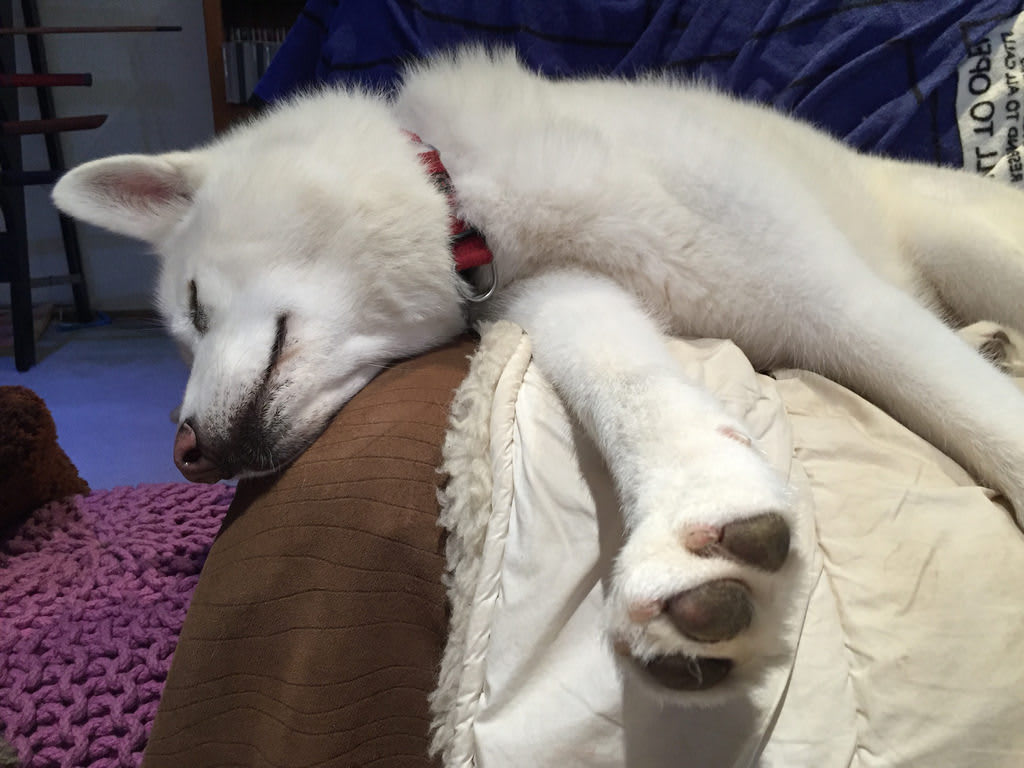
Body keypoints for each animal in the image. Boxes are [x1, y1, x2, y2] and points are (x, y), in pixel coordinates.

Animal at [52, 47, 1024, 701]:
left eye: (193, 306)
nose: (189, 453)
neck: (467, 198)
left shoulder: (835, 302)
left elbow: (984, 421)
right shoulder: (563, 299)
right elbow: (628, 390)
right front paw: (696, 515)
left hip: (966, 244)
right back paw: (993, 342)